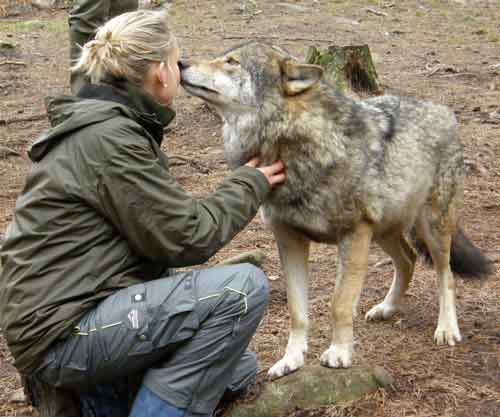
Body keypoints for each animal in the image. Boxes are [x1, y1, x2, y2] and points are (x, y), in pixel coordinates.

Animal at [180, 41, 492, 376]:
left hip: (431, 227)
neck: (292, 144)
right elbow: (297, 310)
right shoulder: (289, 240)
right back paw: (386, 308)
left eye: (231, 62)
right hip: (383, 232)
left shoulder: (353, 235)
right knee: (407, 260)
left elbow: (339, 304)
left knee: (445, 275)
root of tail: (442, 110)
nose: (180, 62)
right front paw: (291, 360)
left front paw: (340, 353)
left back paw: (447, 328)